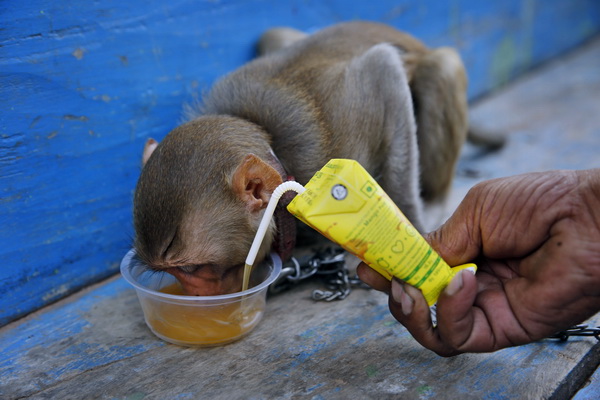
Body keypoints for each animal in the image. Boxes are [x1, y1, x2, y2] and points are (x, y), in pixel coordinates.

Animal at [132, 21, 478, 296]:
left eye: (193, 268)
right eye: (173, 273)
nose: (195, 296)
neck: (277, 152)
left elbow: (382, 70)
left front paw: (413, 230)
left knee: (439, 68)